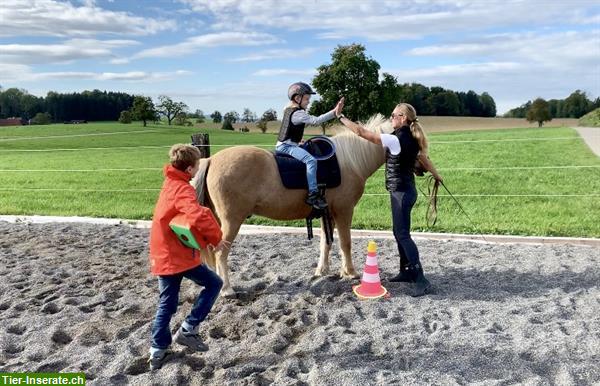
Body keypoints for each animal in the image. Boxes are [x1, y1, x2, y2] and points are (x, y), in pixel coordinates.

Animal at [191, 114, 390, 296]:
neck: (349, 162)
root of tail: (211, 160)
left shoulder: (328, 213)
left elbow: (325, 243)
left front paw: (322, 271)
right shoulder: (344, 210)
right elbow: (345, 243)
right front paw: (350, 272)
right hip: (231, 221)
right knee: (220, 252)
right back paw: (226, 289)